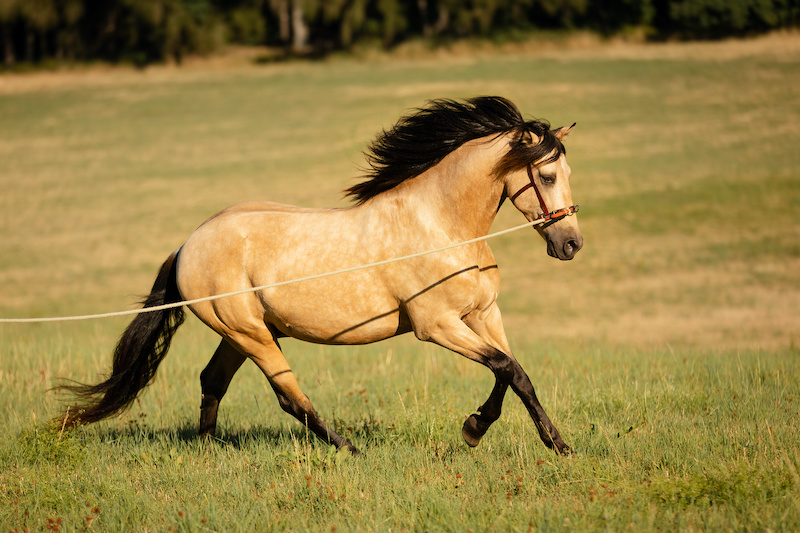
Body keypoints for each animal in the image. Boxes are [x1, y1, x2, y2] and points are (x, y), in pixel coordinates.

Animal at [58, 96, 583, 456]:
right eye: (548, 176)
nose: (571, 245)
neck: (444, 228)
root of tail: (188, 245)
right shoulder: (436, 325)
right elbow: (505, 368)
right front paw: (476, 431)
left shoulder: (483, 315)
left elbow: (517, 374)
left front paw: (553, 444)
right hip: (250, 334)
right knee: (290, 397)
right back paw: (349, 449)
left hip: (244, 333)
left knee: (213, 379)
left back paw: (208, 450)